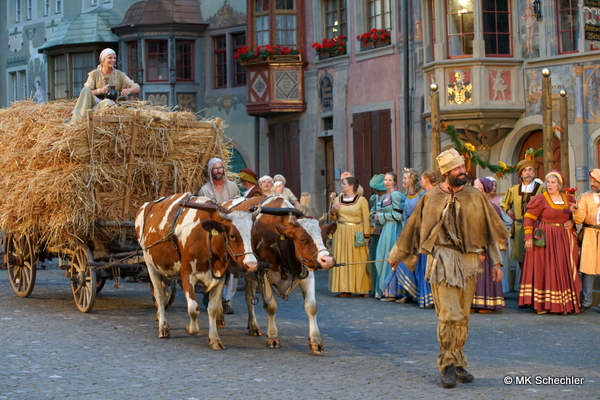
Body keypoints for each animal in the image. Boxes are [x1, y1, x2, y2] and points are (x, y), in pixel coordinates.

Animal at [136, 194, 258, 350]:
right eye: (232, 236)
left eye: (252, 234)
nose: (252, 265)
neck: (206, 238)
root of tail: (146, 205)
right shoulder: (186, 274)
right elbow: (193, 308)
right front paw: (190, 328)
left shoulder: (219, 276)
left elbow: (212, 308)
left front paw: (215, 339)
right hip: (150, 263)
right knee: (159, 294)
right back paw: (163, 327)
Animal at [225, 195, 338, 354]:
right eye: (302, 239)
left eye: (324, 237)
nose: (327, 260)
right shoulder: (265, 273)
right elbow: (271, 306)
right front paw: (273, 337)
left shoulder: (307, 273)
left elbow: (311, 307)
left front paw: (316, 342)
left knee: (248, 297)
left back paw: (253, 326)